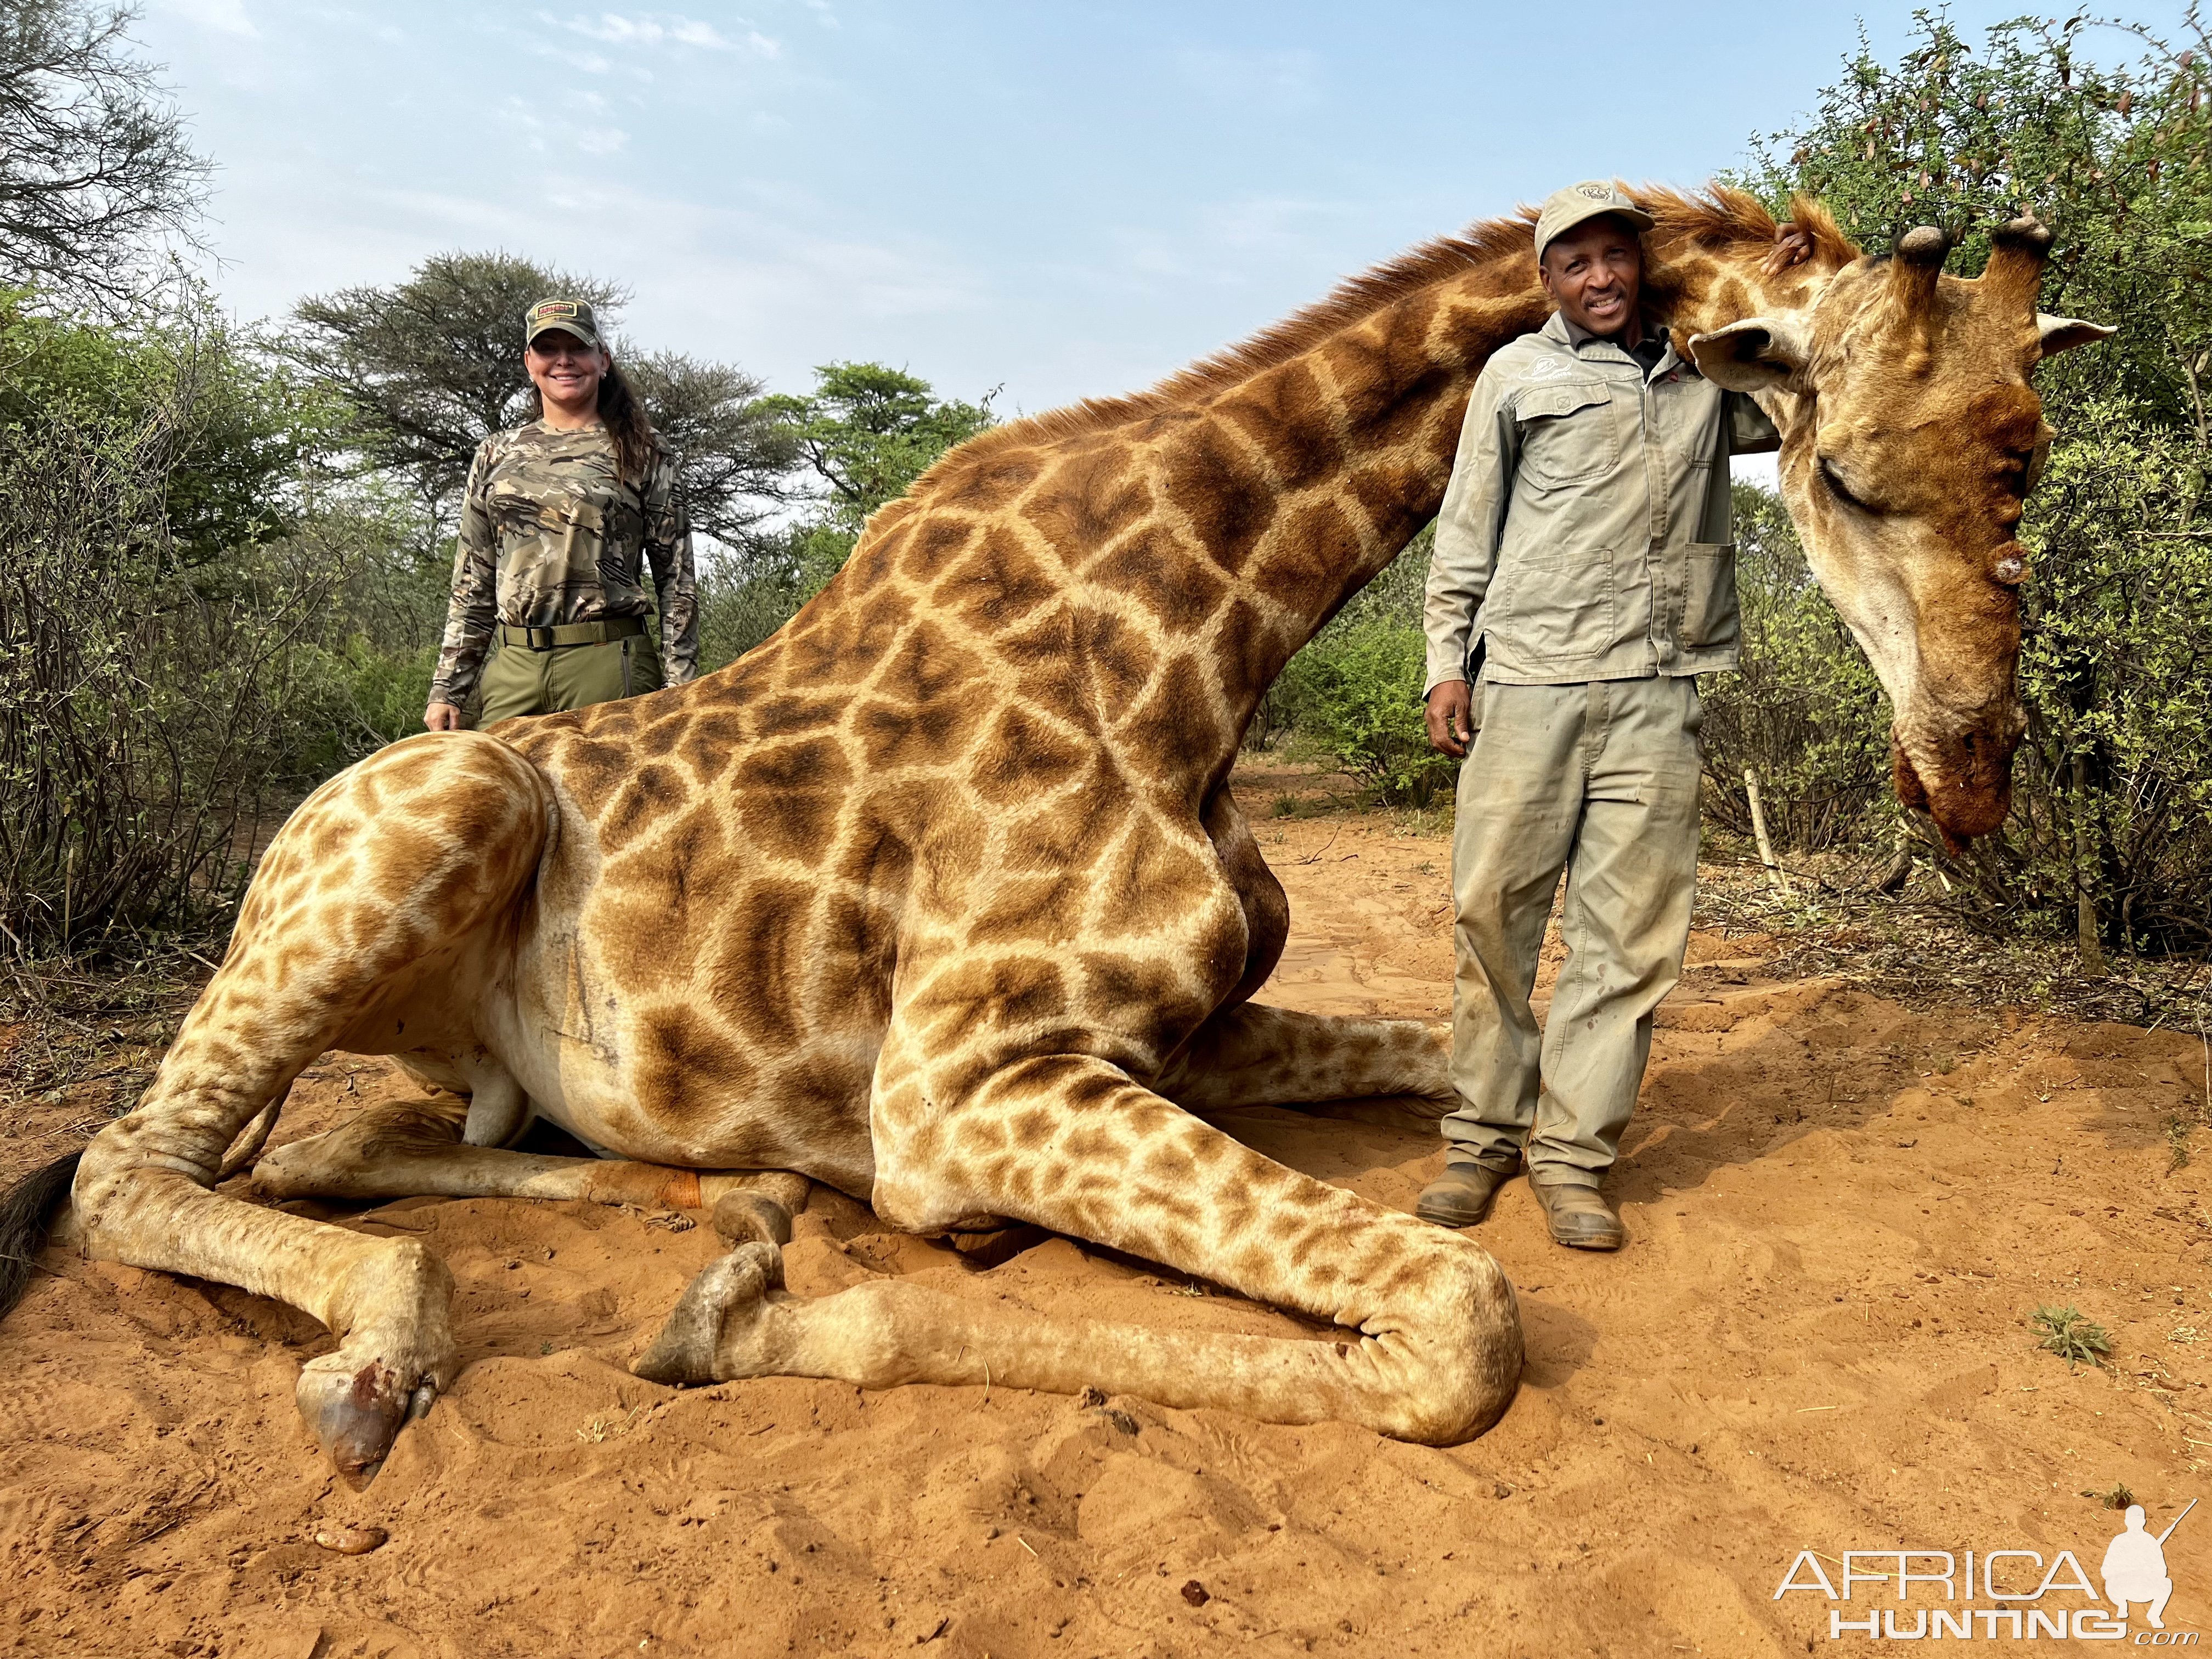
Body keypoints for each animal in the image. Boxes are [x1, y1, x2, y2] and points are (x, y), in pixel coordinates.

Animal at [0, 184, 2106, 1477]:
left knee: (346, 1143)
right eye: (1846, 472)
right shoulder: (960, 1089)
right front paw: (749, 1325)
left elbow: (1472, 1075)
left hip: (460, 1037)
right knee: (130, 1162)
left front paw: (750, 1266)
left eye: (2030, 460)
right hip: (437, 801)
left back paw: (716, 1199)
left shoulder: (1180, 1027)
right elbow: (1460, 1319)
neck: (1206, 633)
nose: (1969, 780)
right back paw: (396, 1353)